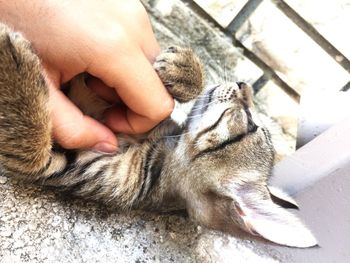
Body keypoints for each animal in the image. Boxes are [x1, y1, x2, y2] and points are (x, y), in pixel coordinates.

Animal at [0, 22, 318, 248]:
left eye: (251, 123)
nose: (245, 86)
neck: (160, 147)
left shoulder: (69, 168)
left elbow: (31, 150)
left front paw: (10, 65)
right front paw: (187, 71)